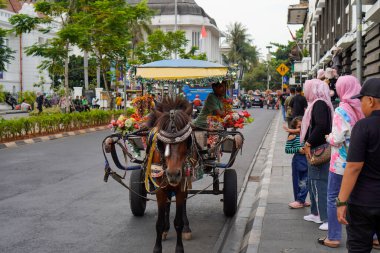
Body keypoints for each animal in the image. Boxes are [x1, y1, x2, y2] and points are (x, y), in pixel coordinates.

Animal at [145, 97, 194, 253]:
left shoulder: (181, 187)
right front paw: (157, 247)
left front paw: (179, 248)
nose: (173, 174)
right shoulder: (160, 189)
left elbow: (178, 222)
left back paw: (187, 228)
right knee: (167, 204)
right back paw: (166, 229)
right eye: (161, 143)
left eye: (186, 141)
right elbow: (159, 223)